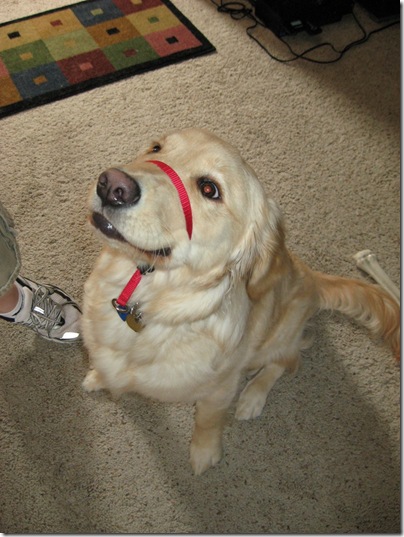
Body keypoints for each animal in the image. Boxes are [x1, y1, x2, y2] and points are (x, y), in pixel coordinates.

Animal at [82, 128, 400, 475]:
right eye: (156, 148)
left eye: (209, 189)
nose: (111, 185)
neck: (147, 300)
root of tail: (312, 277)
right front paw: (98, 376)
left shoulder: (219, 389)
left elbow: (208, 421)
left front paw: (204, 452)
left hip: (278, 334)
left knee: (288, 361)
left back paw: (252, 397)